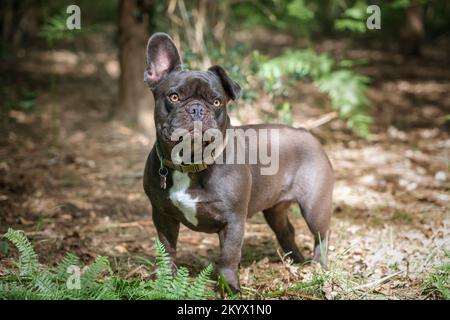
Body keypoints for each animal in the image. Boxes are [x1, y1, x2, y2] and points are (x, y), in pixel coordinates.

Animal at [144, 33, 334, 296]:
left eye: (216, 102)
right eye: (174, 97)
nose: (197, 109)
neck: (191, 162)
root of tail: (306, 133)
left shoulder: (233, 221)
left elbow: (228, 257)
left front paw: (229, 286)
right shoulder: (162, 215)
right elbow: (167, 249)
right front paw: (164, 281)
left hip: (315, 207)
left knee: (320, 236)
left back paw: (318, 268)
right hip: (275, 209)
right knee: (287, 231)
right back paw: (295, 260)